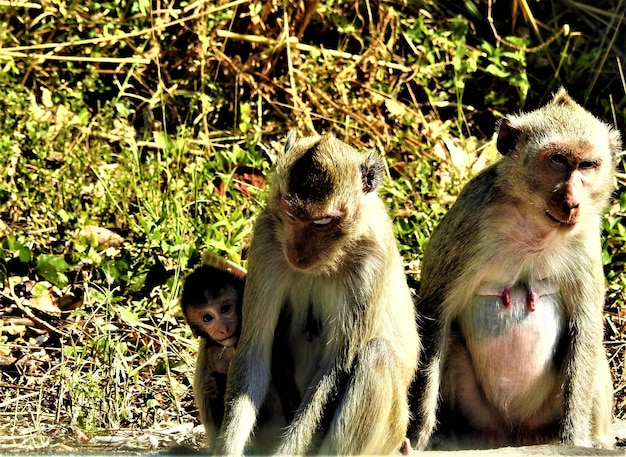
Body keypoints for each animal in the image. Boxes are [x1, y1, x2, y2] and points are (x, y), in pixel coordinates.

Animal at [178, 256, 300, 452]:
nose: (223, 328)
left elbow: (282, 371)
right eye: (207, 318)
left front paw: (218, 383)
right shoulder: (214, 350)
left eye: (225, 308)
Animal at [214, 130, 420, 454]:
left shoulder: (372, 260)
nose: (298, 253)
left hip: (392, 430)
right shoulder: (267, 240)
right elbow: (254, 350)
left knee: (375, 355)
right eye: (290, 213)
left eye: (322, 221)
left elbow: (337, 369)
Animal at [408, 86, 616, 448]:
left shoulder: (586, 237)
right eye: (558, 160)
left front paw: (574, 439)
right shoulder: (471, 218)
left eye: (588, 165)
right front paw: (420, 436)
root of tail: (513, 435)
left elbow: (585, 328)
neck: (534, 222)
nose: (572, 201)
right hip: (479, 416)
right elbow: (435, 315)